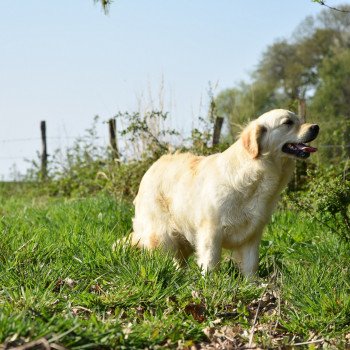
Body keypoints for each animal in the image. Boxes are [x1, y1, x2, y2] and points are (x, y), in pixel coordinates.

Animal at [130, 109, 318, 276]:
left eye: (300, 119)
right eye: (288, 122)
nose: (316, 127)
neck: (255, 175)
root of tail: (154, 165)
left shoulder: (252, 234)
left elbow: (251, 266)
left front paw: (252, 285)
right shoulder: (211, 231)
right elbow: (211, 262)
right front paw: (209, 284)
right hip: (163, 235)